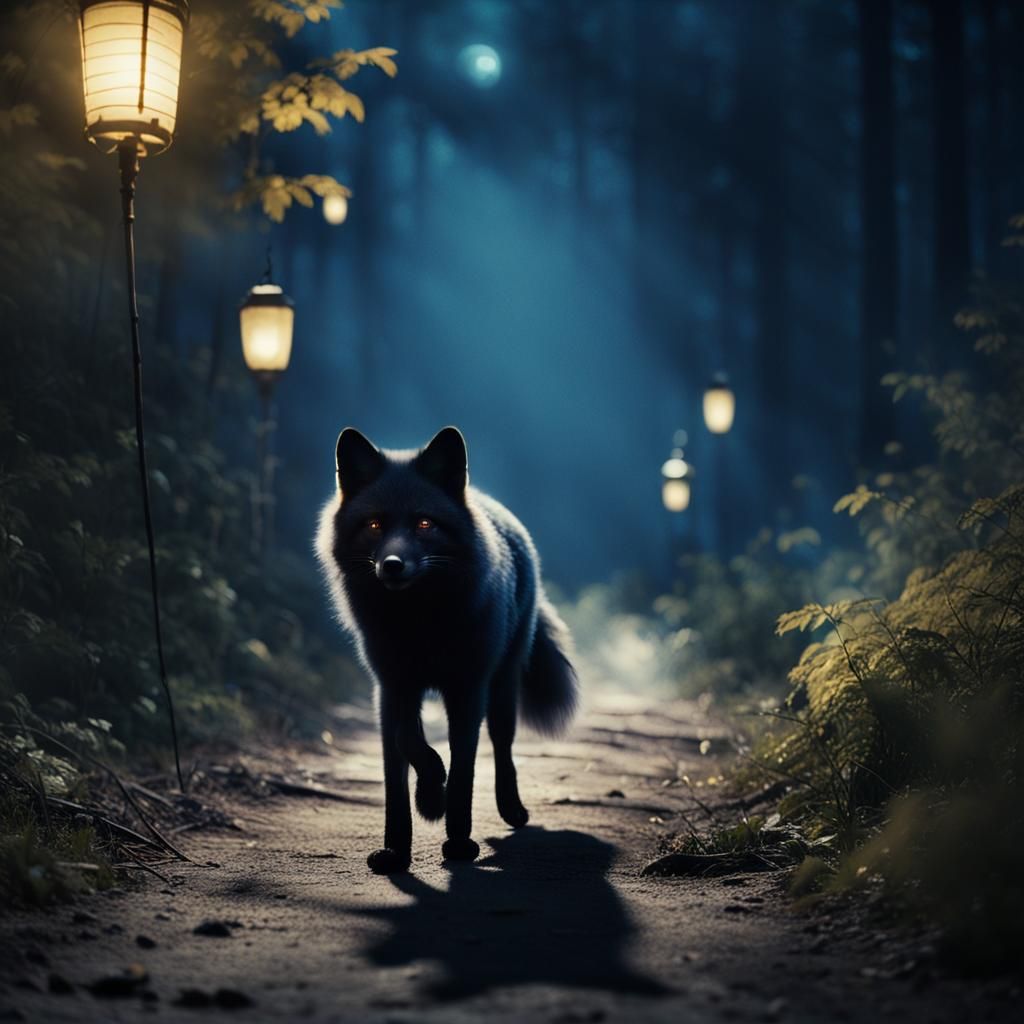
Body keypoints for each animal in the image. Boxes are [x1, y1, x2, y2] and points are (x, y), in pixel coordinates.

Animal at [315, 426, 578, 874]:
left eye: (424, 523)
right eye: (374, 524)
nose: (392, 565)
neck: (420, 626)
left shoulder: (467, 689)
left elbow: (463, 771)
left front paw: (456, 839)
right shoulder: (392, 686)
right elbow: (404, 750)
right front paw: (405, 835)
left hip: (502, 688)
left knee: (503, 747)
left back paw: (512, 809)